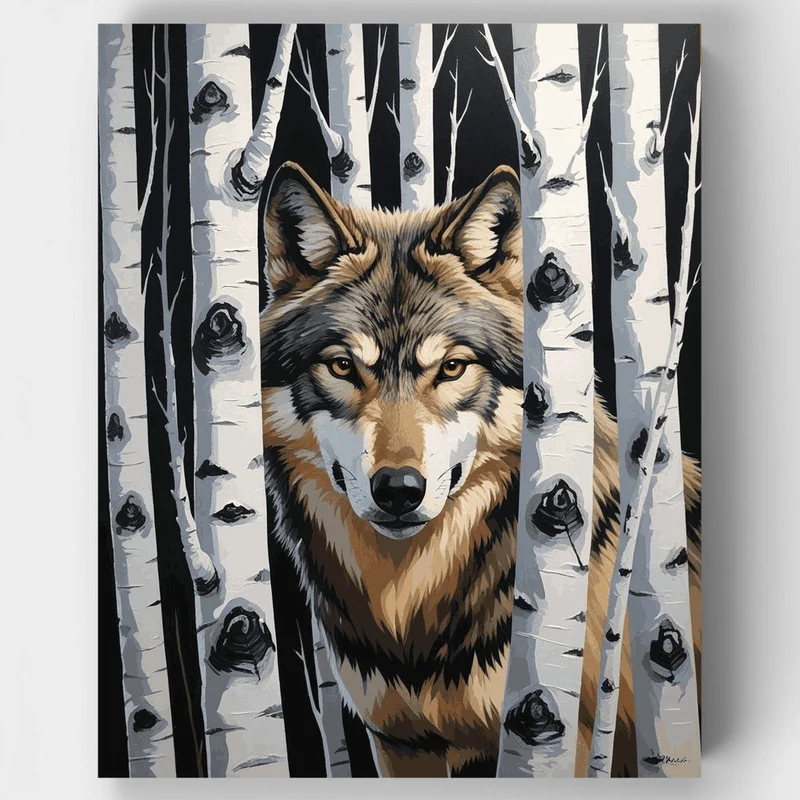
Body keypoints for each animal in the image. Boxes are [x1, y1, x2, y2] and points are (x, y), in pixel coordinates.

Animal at [259, 162, 701, 777]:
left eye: (451, 367)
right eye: (343, 366)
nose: (399, 490)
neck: (410, 617)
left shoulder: (559, 738)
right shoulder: (401, 745)